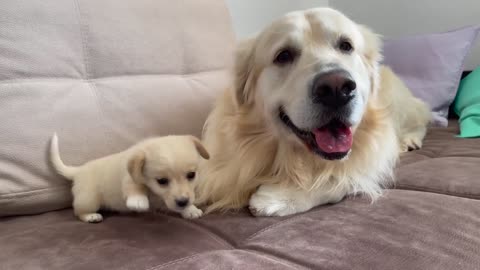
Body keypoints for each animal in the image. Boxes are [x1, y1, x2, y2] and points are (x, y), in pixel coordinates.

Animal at [49, 133, 209, 224]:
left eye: (191, 175)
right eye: (162, 181)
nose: (183, 202)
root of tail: (79, 170)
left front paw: (190, 209)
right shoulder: (128, 177)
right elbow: (134, 186)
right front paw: (138, 201)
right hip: (89, 200)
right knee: (78, 212)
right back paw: (90, 217)